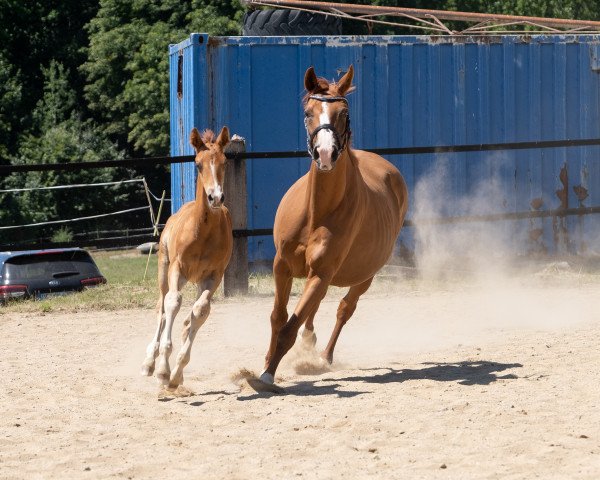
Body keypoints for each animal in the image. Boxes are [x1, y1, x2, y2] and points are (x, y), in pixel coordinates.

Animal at [141, 127, 232, 390]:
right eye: (198, 164)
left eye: (224, 162)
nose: (215, 197)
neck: (202, 231)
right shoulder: (177, 268)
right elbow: (173, 303)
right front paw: (163, 369)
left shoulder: (214, 275)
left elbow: (200, 311)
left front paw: (176, 373)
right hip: (164, 269)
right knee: (161, 307)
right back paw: (150, 361)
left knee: (190, 315)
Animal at [251, 65, 410, 392]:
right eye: (308, 112)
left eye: (344, 114)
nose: (325, 153)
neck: (317, 212)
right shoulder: (281, 266)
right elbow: (278, 318)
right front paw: (266, 362)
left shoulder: (322, 272)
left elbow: (289, 327)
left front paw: (267, 376)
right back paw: (310, 343)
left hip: (365, 276)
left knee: (344, 309)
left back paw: (324, 356)